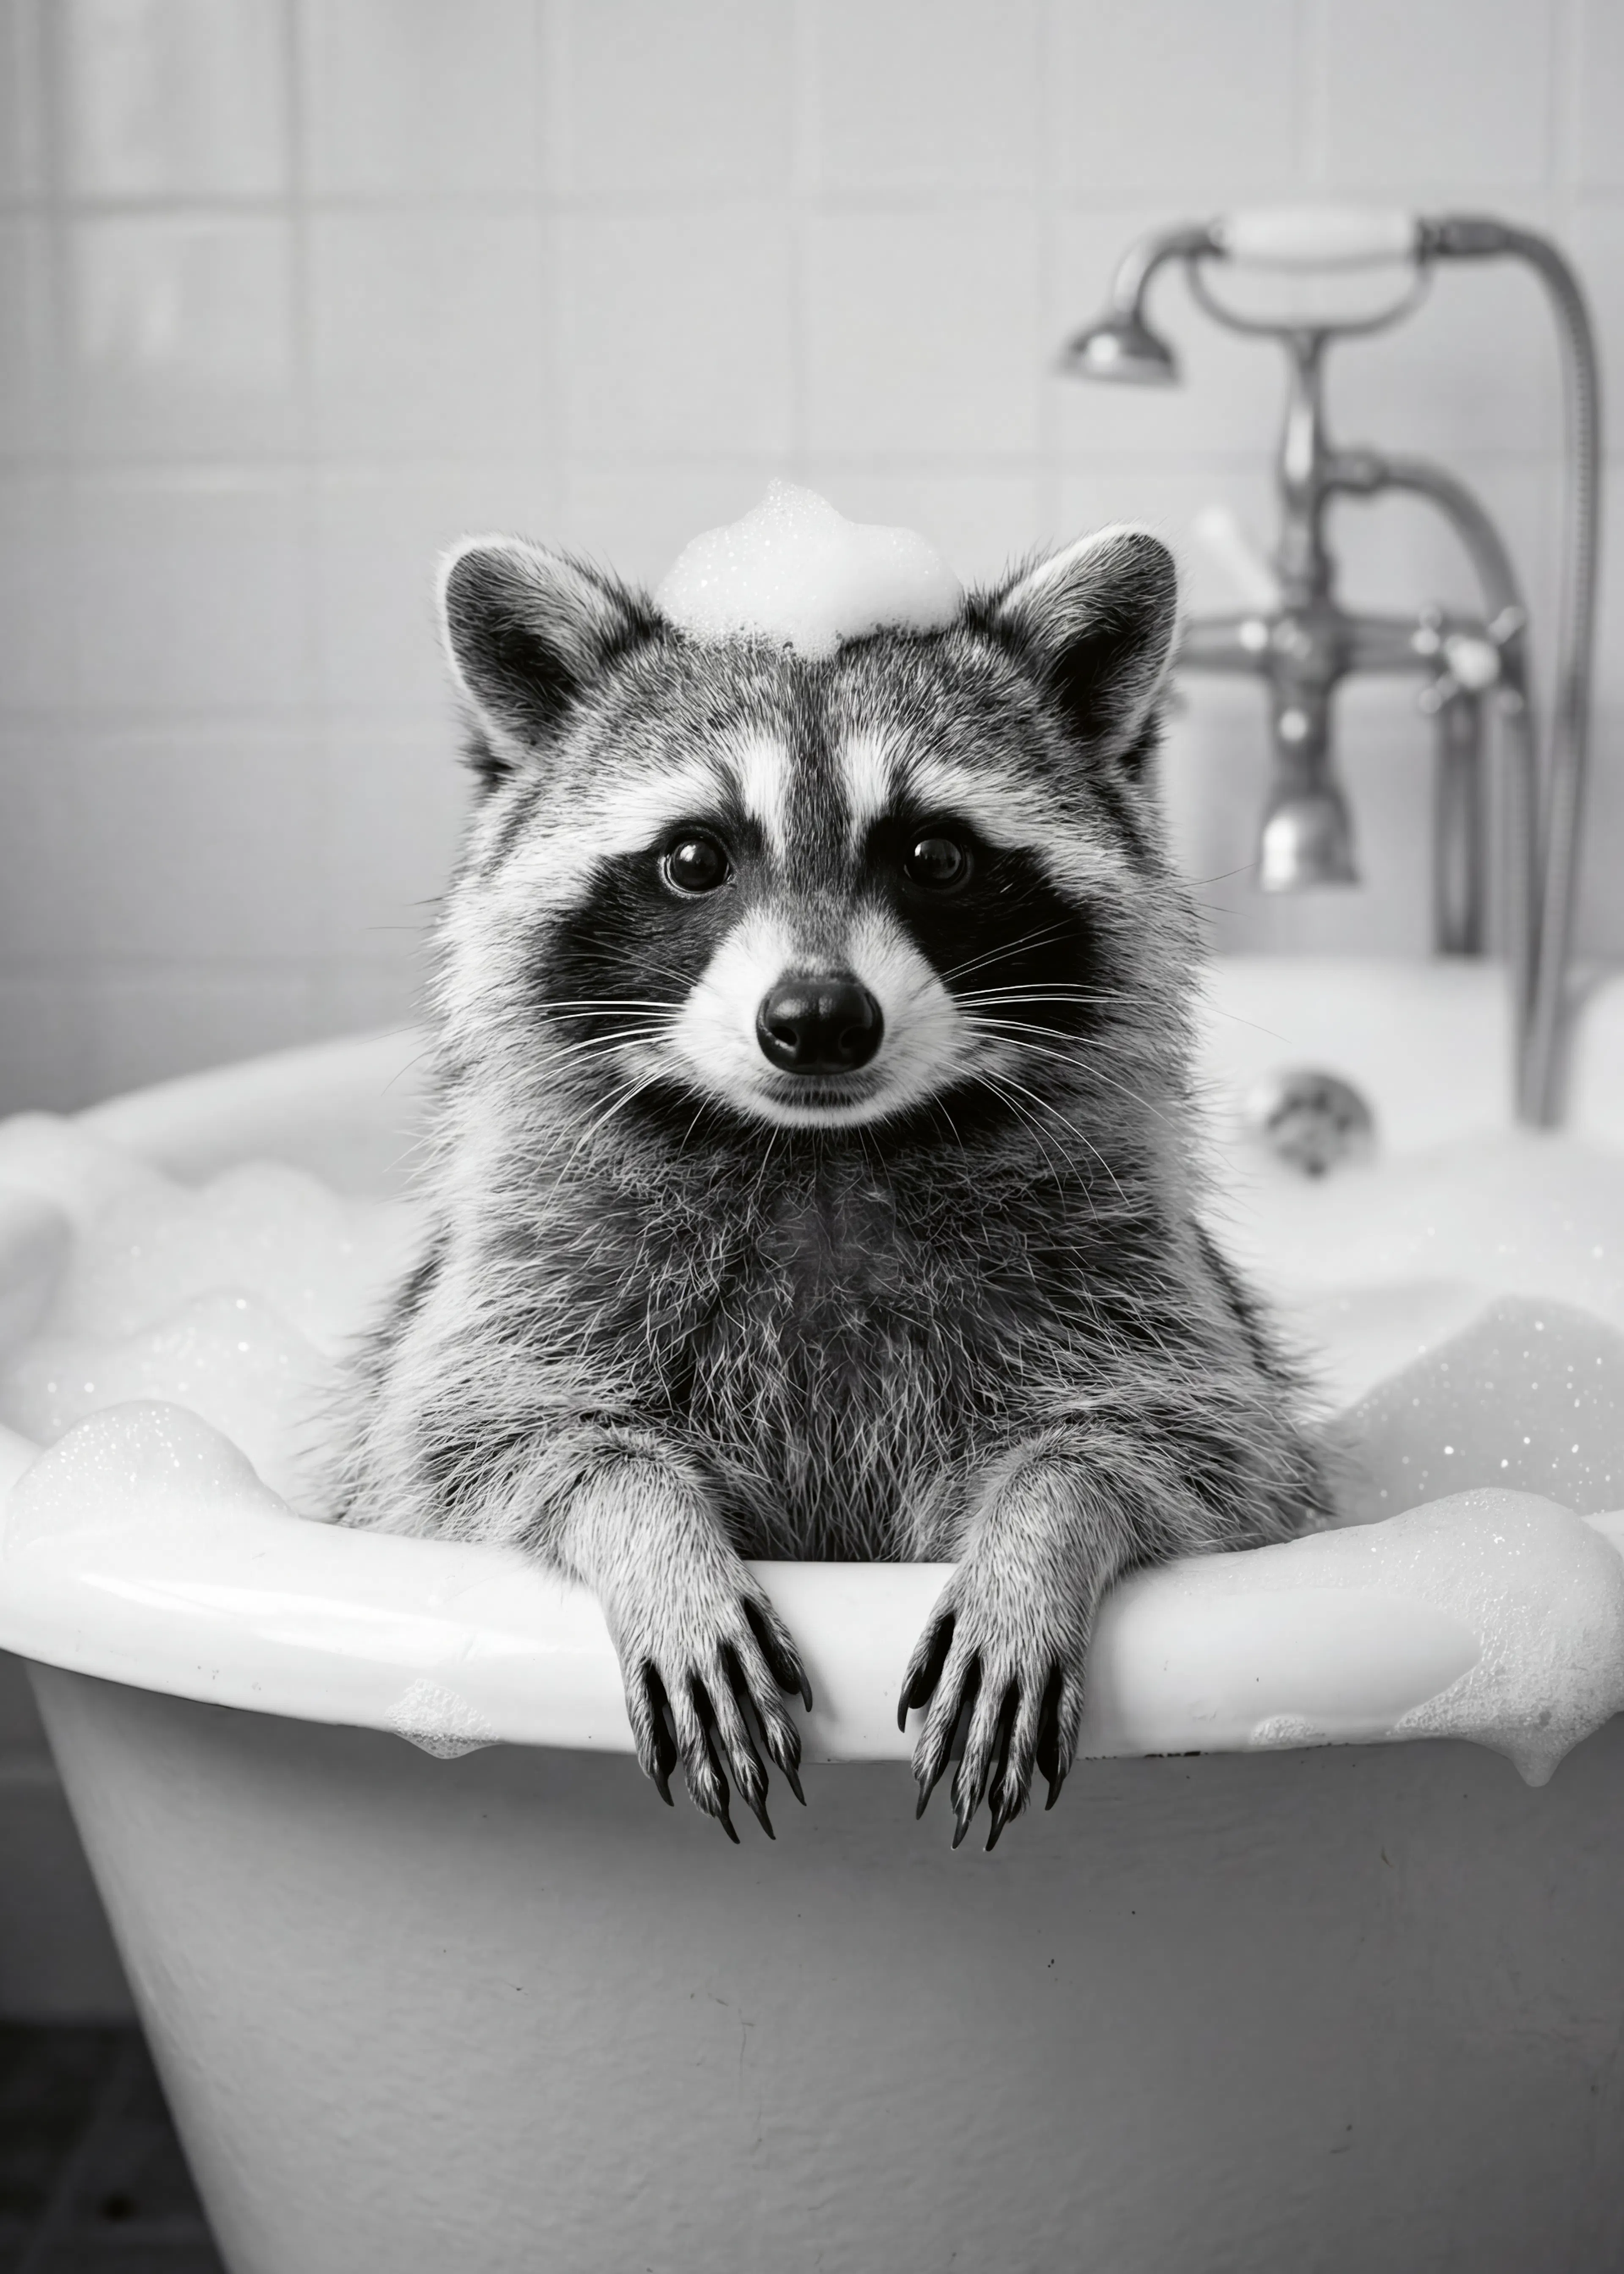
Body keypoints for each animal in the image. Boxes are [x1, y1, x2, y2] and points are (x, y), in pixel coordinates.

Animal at [339, 523, 1331, 1850]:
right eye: (694, 858)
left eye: (936, 855)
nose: (817, 1020)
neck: (819, 1153)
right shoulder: (531, 1261)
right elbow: (474, 1443)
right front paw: (649, 1529)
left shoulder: (1124, 1261)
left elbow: (1197, 1452)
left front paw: (1045, 1530)